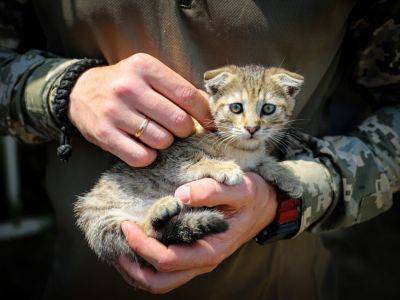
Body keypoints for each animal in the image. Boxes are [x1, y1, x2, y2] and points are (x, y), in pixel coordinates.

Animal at [75, 64, 304, 264]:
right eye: (236, 107)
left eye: (268, 108)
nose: (252, 128)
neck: (240, 148)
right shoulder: (170, 156)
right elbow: (195, 161)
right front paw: (223, 167)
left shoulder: (254, 156)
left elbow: (264, 161)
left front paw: (288, 176)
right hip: (104, 221)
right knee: (145, 233)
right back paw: (161, 209)